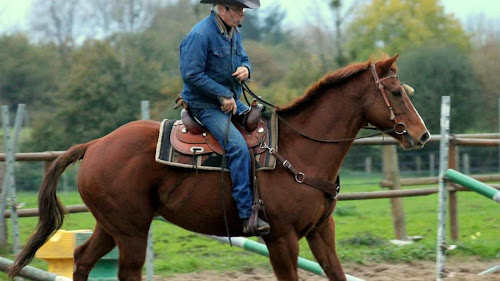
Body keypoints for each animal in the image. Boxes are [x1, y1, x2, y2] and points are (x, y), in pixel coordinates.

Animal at [7, 53, 430, 278]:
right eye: (395, 92)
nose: (422, 135)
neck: (302, 149)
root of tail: (95, 145)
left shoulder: (320, 232)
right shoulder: (281, 239)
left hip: (113, 226)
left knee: (82, 260)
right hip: (131, 231)